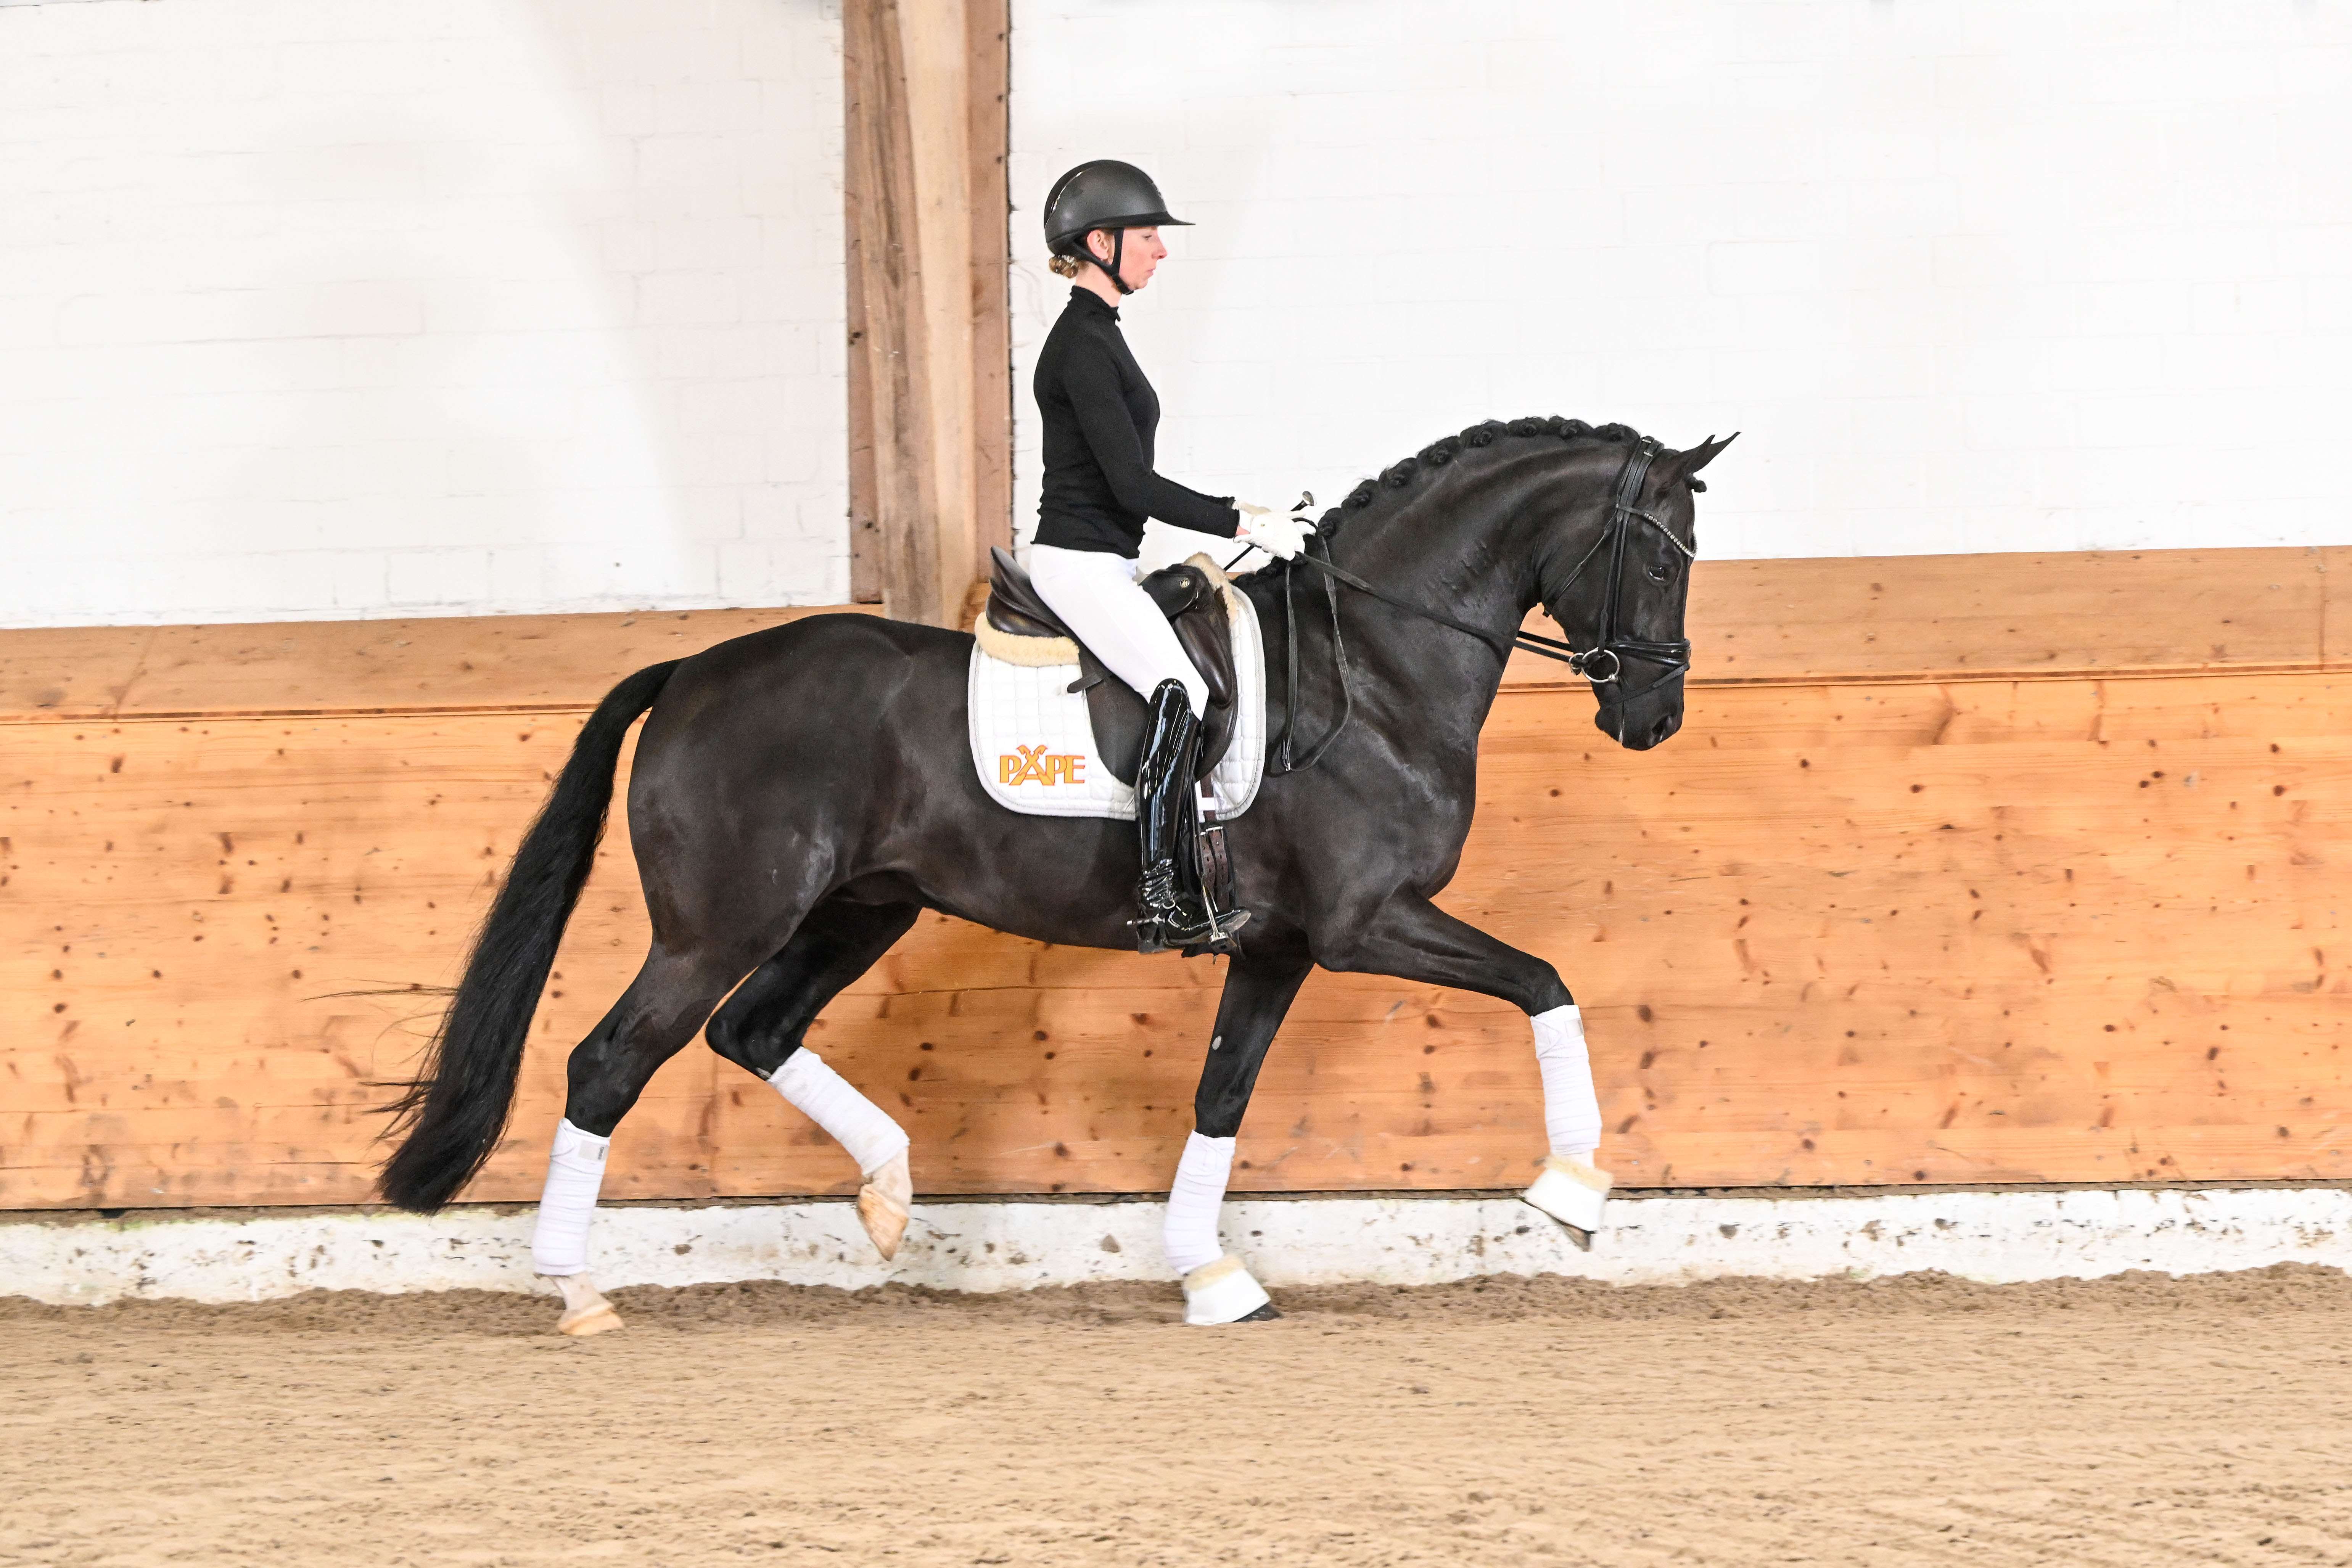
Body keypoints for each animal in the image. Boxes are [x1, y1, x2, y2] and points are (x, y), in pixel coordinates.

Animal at [378, 415, 1733, 1332]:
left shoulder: (1279, 943)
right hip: (721, 921)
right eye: (1665, 556)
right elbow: (1547, 980)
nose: (1655, 717)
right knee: (610, 1061)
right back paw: (578, 1289)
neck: (1375, 672)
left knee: (755, 1031)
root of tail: (693, 670)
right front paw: (1571, 1187)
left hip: (860, 908)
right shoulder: (1366, 923)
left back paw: (887, 1194)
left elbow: (1222, 1093)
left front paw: (1210, 1272)